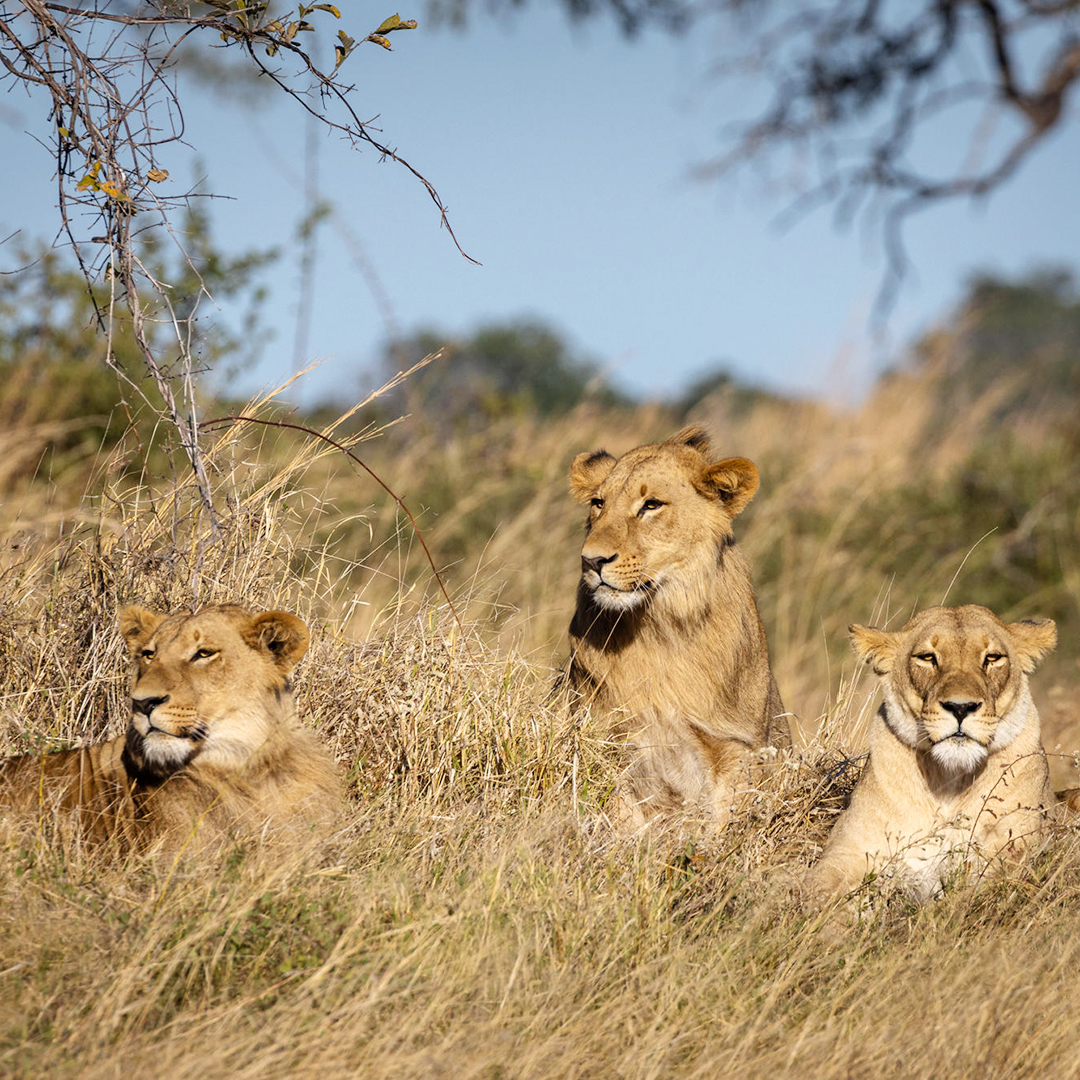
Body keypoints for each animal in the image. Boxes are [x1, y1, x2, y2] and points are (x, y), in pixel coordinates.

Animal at [566, 425, 789, 828]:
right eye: (598, 503)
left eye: (651, 505)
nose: (590, 560)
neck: (659, 627)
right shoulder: (604, 740)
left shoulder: (735, 746)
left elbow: (723, 825)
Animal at [805, 604, 1060, 905]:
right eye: (928, 658)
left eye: (992, 658)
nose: (960, 707)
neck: (949, 782)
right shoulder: (847, 849)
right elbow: (815, 891)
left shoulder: (1016, 853)